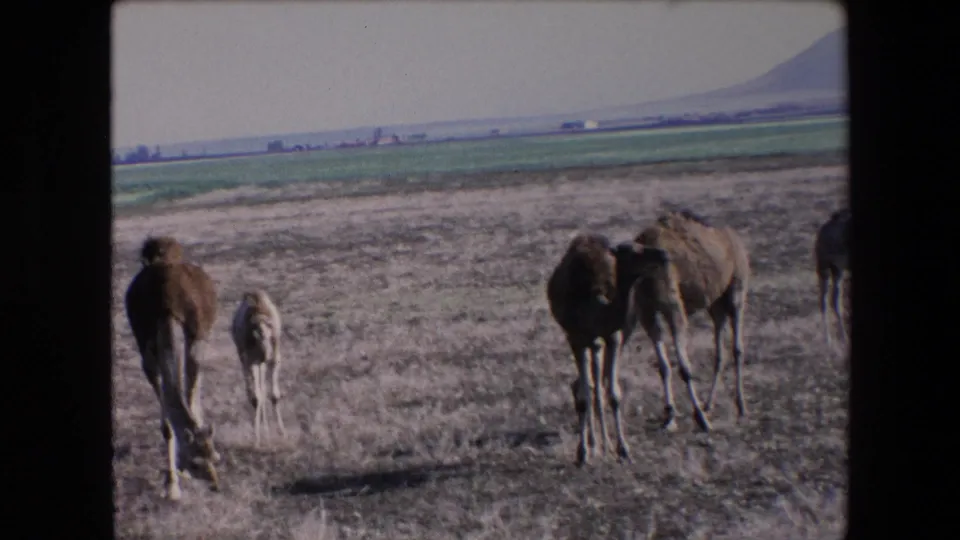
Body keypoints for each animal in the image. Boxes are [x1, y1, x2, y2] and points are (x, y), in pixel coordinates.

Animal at [124, 236, 221, 501]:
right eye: (196, 462)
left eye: (213, 456)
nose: (216, 484)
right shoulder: (148, 355)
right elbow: (167, 425)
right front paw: (171, 485)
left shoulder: (196, 339)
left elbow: (191, 396)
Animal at [231, 289, 287, 447]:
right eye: (258, 335)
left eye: (269, 334)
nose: (266, 354)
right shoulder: (251, 360)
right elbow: (256, 397)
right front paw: (256, 439)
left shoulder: (275, 359)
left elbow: (274, 395)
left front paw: (282, 432)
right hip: (245, 358)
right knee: (253, 393)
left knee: (261, 389)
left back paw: (266, 430)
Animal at [546, 232, 670, 466]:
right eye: (632, 251)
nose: (663, 254)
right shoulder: (576, 338)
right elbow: (586, 395)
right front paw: (584, 452)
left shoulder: (613, 336)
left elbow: (613, 394)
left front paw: (623, 449)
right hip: (585, 341)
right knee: (585, 387)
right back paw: (593, 444)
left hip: (603, 341)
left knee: (596, 385)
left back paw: (603, 443)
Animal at [631, 209, 752, 432]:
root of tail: (735, 240)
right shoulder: (647, 313)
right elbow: (663, 367)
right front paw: (670, 416)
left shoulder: (673, 308)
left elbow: (684, 368)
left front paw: (700, 419)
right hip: (715, 303)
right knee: (720, 351)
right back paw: (709, 404)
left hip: (737, 289)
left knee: (737, 347)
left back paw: (740, 407)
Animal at [814, 209, 851, 346]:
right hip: (824, 266)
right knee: (824, 300)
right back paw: (828, 339)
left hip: (837, 269)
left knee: (834, 299)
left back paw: (842, 338)